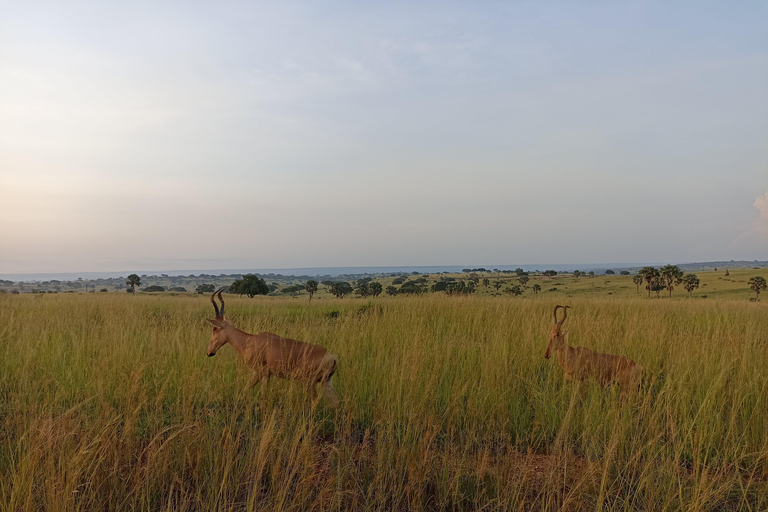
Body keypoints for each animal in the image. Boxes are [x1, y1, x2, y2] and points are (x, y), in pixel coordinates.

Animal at [206, 290, 340, 406]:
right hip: (326, 382)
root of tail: (332, 356)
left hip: (310, 383)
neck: (250, 341)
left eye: (215, 329)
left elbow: (256, 393)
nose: (209, 352)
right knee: (336, 402)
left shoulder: (261, 373)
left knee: (315, 401)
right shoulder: (266, 374)